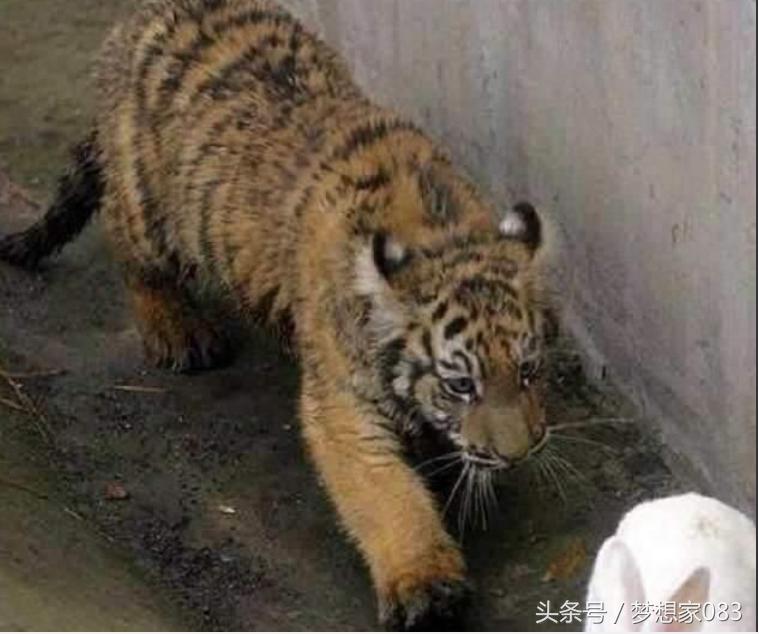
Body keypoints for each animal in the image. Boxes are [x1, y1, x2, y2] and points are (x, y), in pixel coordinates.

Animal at [0, 0, 557, 628]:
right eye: (461, 384)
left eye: (529, 371)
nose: (520, 453)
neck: (441, 231)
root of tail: (142, 17)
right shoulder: (340, 403)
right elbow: (384, 492)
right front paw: (425, 584)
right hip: (151, 209)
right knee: (128, 244)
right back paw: (178, 330)